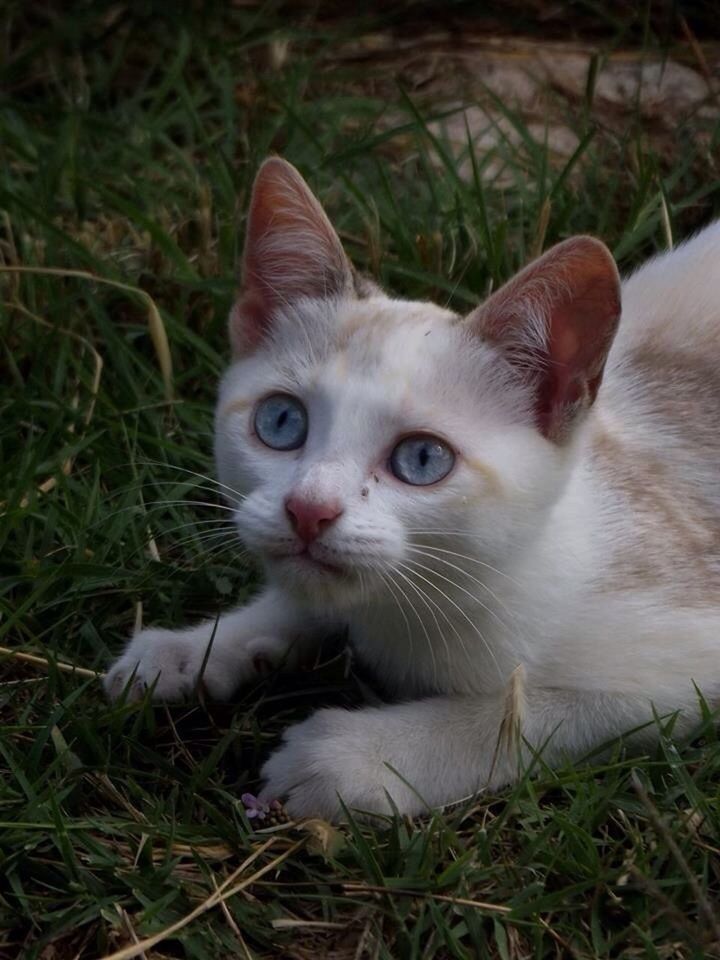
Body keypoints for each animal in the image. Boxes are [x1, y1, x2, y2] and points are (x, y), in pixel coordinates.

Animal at [104, 156, 720, 816]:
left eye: (422, 459)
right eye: (281, 422)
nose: (308, 509)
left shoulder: (686, 658)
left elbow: (522, 715)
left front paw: (351, 759)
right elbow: (303, 600)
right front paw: (192, 650)